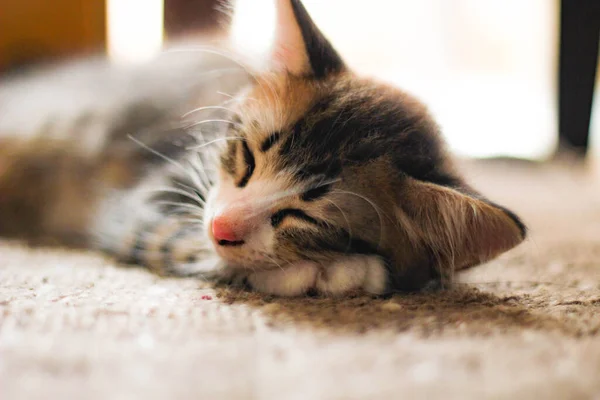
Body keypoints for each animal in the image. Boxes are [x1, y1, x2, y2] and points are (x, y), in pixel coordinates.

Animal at [0, 0, 524, 296]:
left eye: (308, 218)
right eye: (248, 157)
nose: (221, 226)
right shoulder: (144, 198)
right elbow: (193, 246)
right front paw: (326, 273)